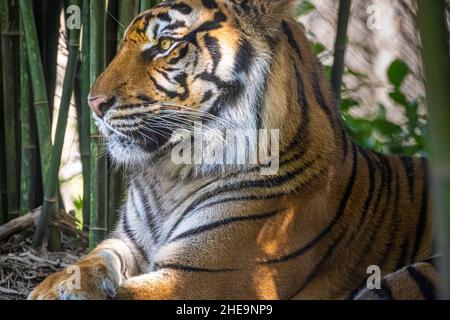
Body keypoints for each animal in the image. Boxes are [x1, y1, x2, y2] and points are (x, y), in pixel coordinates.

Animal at [30, 0, 440, 300]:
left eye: (164, 46)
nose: (93, 103)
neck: (169, 176)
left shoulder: (206, 275)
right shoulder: (127, 241)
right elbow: (92, 257)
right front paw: (54, 286)